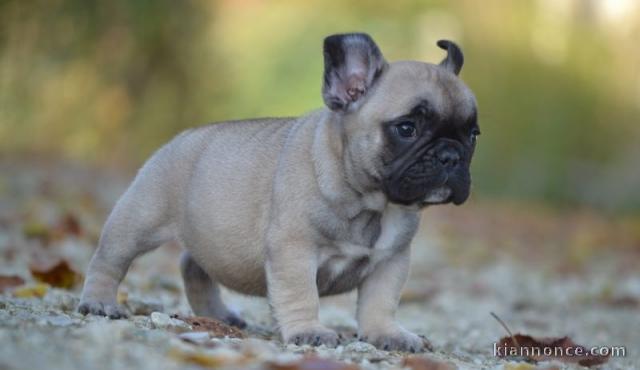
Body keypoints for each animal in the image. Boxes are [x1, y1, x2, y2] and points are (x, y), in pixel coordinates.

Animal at [77, 32, 478, 352]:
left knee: (193, 265)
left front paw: (387, 334)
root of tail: (183, 137)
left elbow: (380, 303)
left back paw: (216, 314)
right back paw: (99, 303)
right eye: (407, 128)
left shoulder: (391, 261)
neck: (371, 204)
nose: (451, 155)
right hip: (138, 219)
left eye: (472, 134)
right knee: (109, 260)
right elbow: (301, 294)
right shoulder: (294, 251)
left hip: (211, 238)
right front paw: (309, 331)